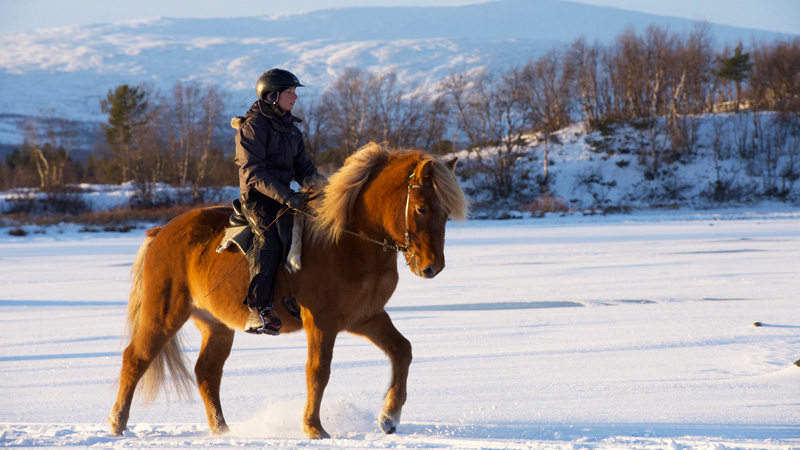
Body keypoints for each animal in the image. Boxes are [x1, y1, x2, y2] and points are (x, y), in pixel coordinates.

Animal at [106, 142, 468, 438]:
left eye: (445, 212)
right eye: (420, 208)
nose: (432, 267)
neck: (347, 241)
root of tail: (161, 232)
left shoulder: (365, 317)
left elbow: (402, 351)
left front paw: (389, 417)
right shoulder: (321, 321)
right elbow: (318, 371)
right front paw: (314, 428)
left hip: (216, 325)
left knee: (206, 372)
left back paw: (222, 431)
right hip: (165, 312)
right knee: (135, 359)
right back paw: (117, 426)